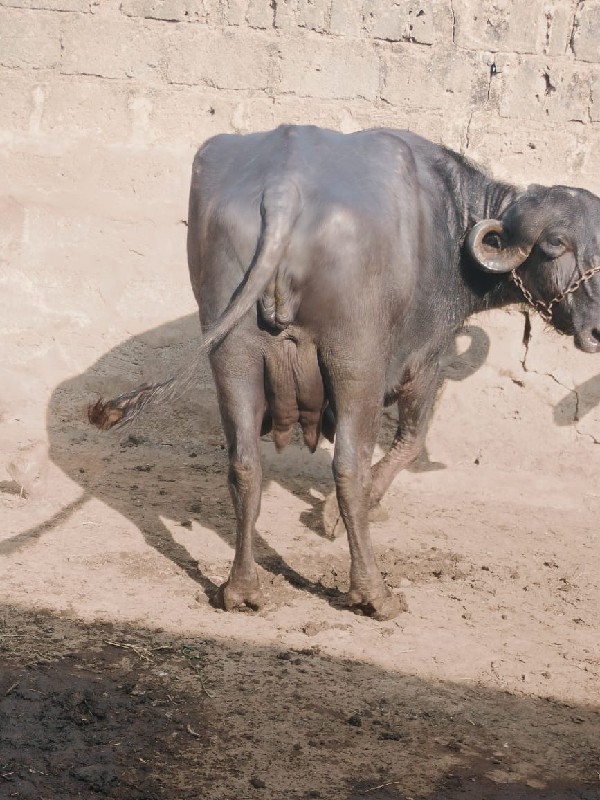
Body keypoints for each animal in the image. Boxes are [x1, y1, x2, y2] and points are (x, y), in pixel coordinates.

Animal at [89, 128, 600, 620]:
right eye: (555, 244)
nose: (596, 330)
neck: (453, 222)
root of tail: (284, 188)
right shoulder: (425, 360)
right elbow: (410, 441)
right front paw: (335, 518)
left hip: (232, 355)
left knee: (244, 465)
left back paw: (241, 589)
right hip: (356, 361)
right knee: (349, 467)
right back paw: (373, 593)